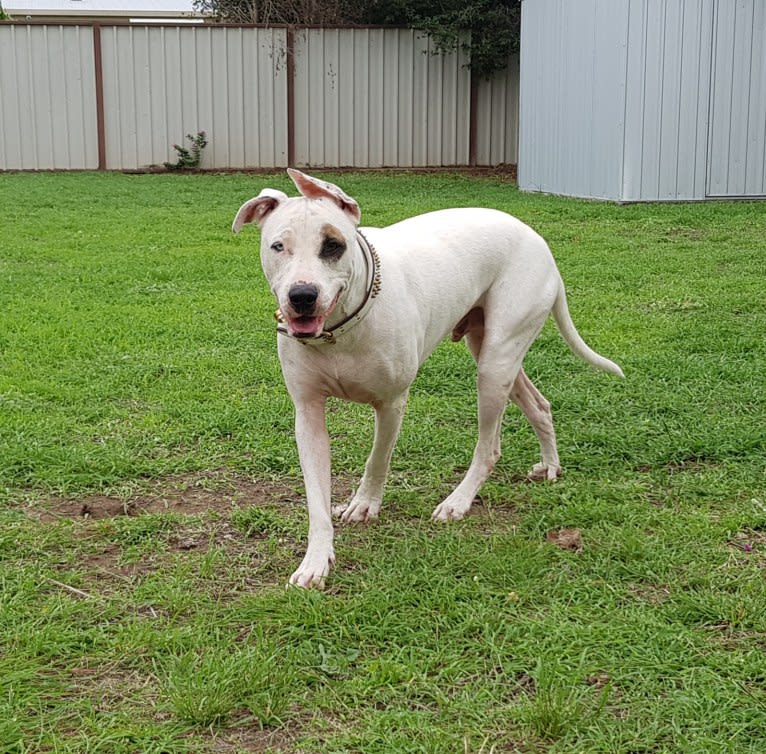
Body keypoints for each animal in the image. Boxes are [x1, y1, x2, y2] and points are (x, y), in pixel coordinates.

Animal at [234, 172, 624, 588]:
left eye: (333, 246)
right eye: (278, 246)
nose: (302, 296)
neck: (340, 329)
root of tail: (536, 238)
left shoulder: (391, 404)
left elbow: (378, 458)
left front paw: (364, 504)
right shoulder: (308, 413)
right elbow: (317, 499)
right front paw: (316, 560)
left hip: (495, 364)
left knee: (489, 447)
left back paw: (458, 501)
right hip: (495, 353)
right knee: (539, 404)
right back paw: (550, 465)